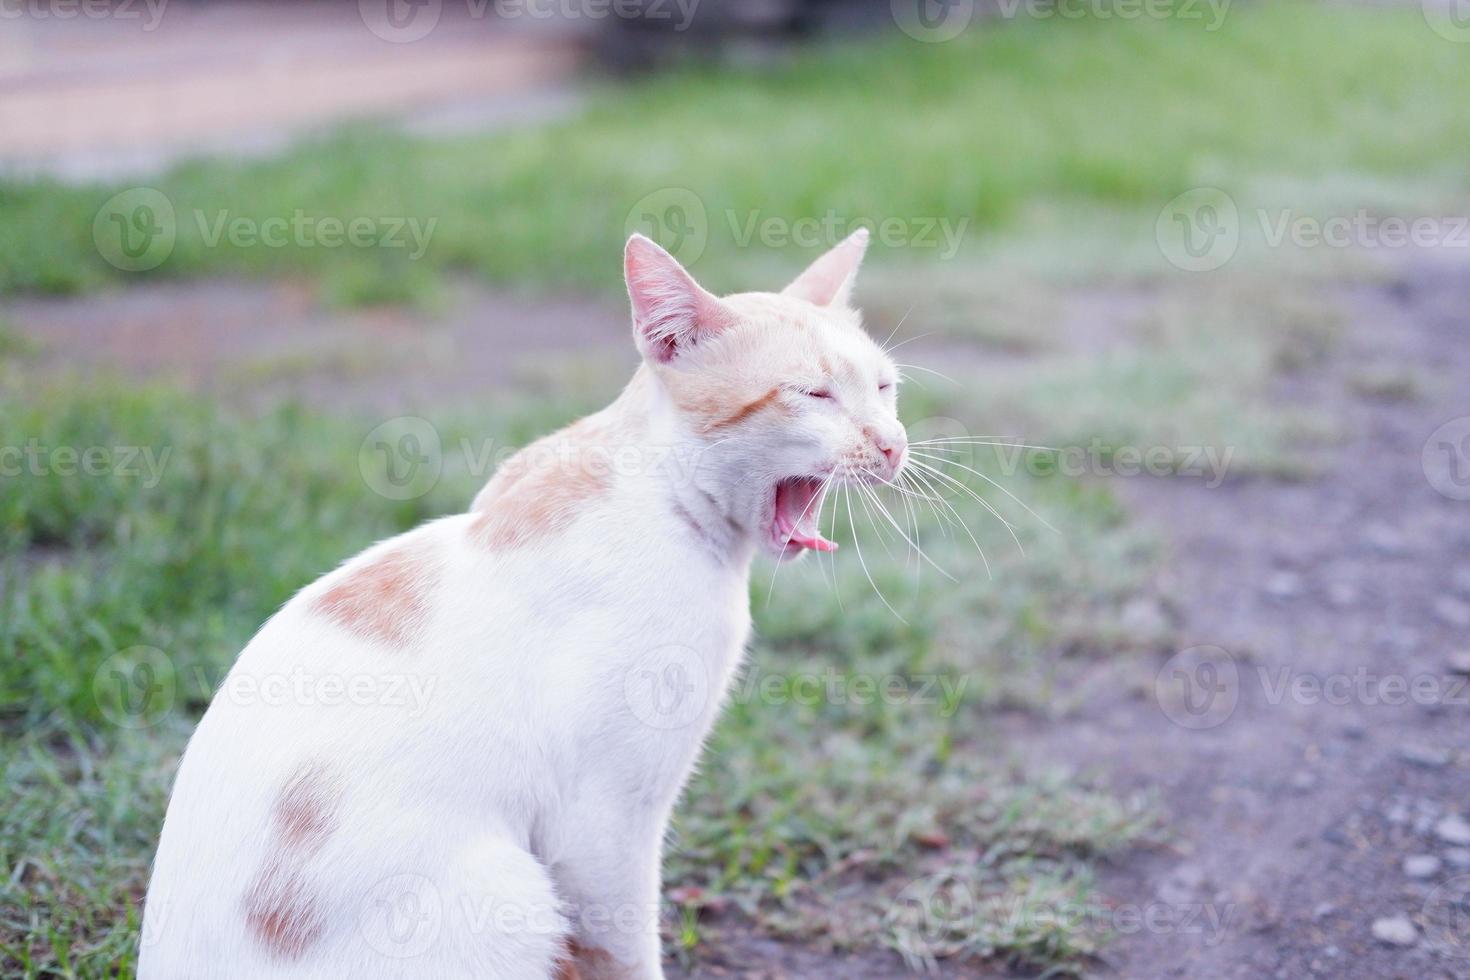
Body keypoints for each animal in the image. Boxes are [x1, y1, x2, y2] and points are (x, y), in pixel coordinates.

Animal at [143, 230, 911, 980]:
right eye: (813, 394)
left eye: (884, 387)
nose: (894, 444)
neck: (660, 495)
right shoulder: (603, 821)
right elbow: (624, 950)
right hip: (512, 889)